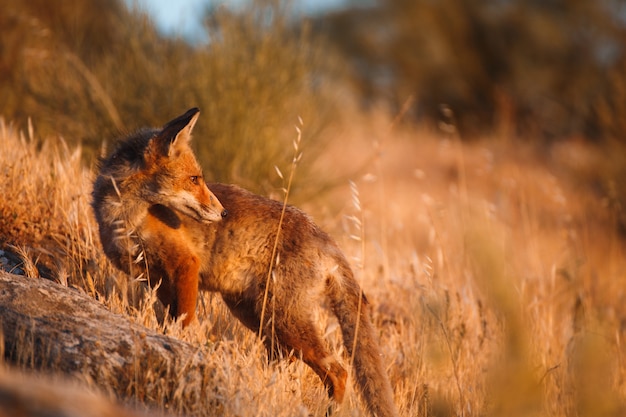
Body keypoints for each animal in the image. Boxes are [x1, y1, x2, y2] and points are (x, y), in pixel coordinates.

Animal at [90, 108, 398, 416]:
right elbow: (168, 321)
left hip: (282, 318)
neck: (128, 217)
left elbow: (184, 323)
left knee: (338, 370)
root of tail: (324, 236)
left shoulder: (186, 265)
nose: (223, 212)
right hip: (256, 315)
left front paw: (182, 349)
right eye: (194, 179)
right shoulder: (157, 280)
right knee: (289, 360)